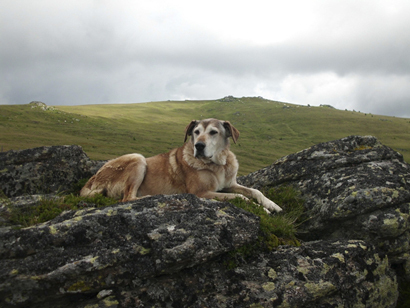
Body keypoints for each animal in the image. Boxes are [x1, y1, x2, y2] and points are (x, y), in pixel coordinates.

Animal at [81, 119, 284, 213]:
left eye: (213, 132)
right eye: (196, 132)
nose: (199, 146)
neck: (217, 164)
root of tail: (90, 182)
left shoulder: (229, 184)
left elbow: (255, 191)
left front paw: (272, 205)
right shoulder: (201, 192)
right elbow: (240, 197)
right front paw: (263, 210)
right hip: (137, 158)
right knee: (127, 198)